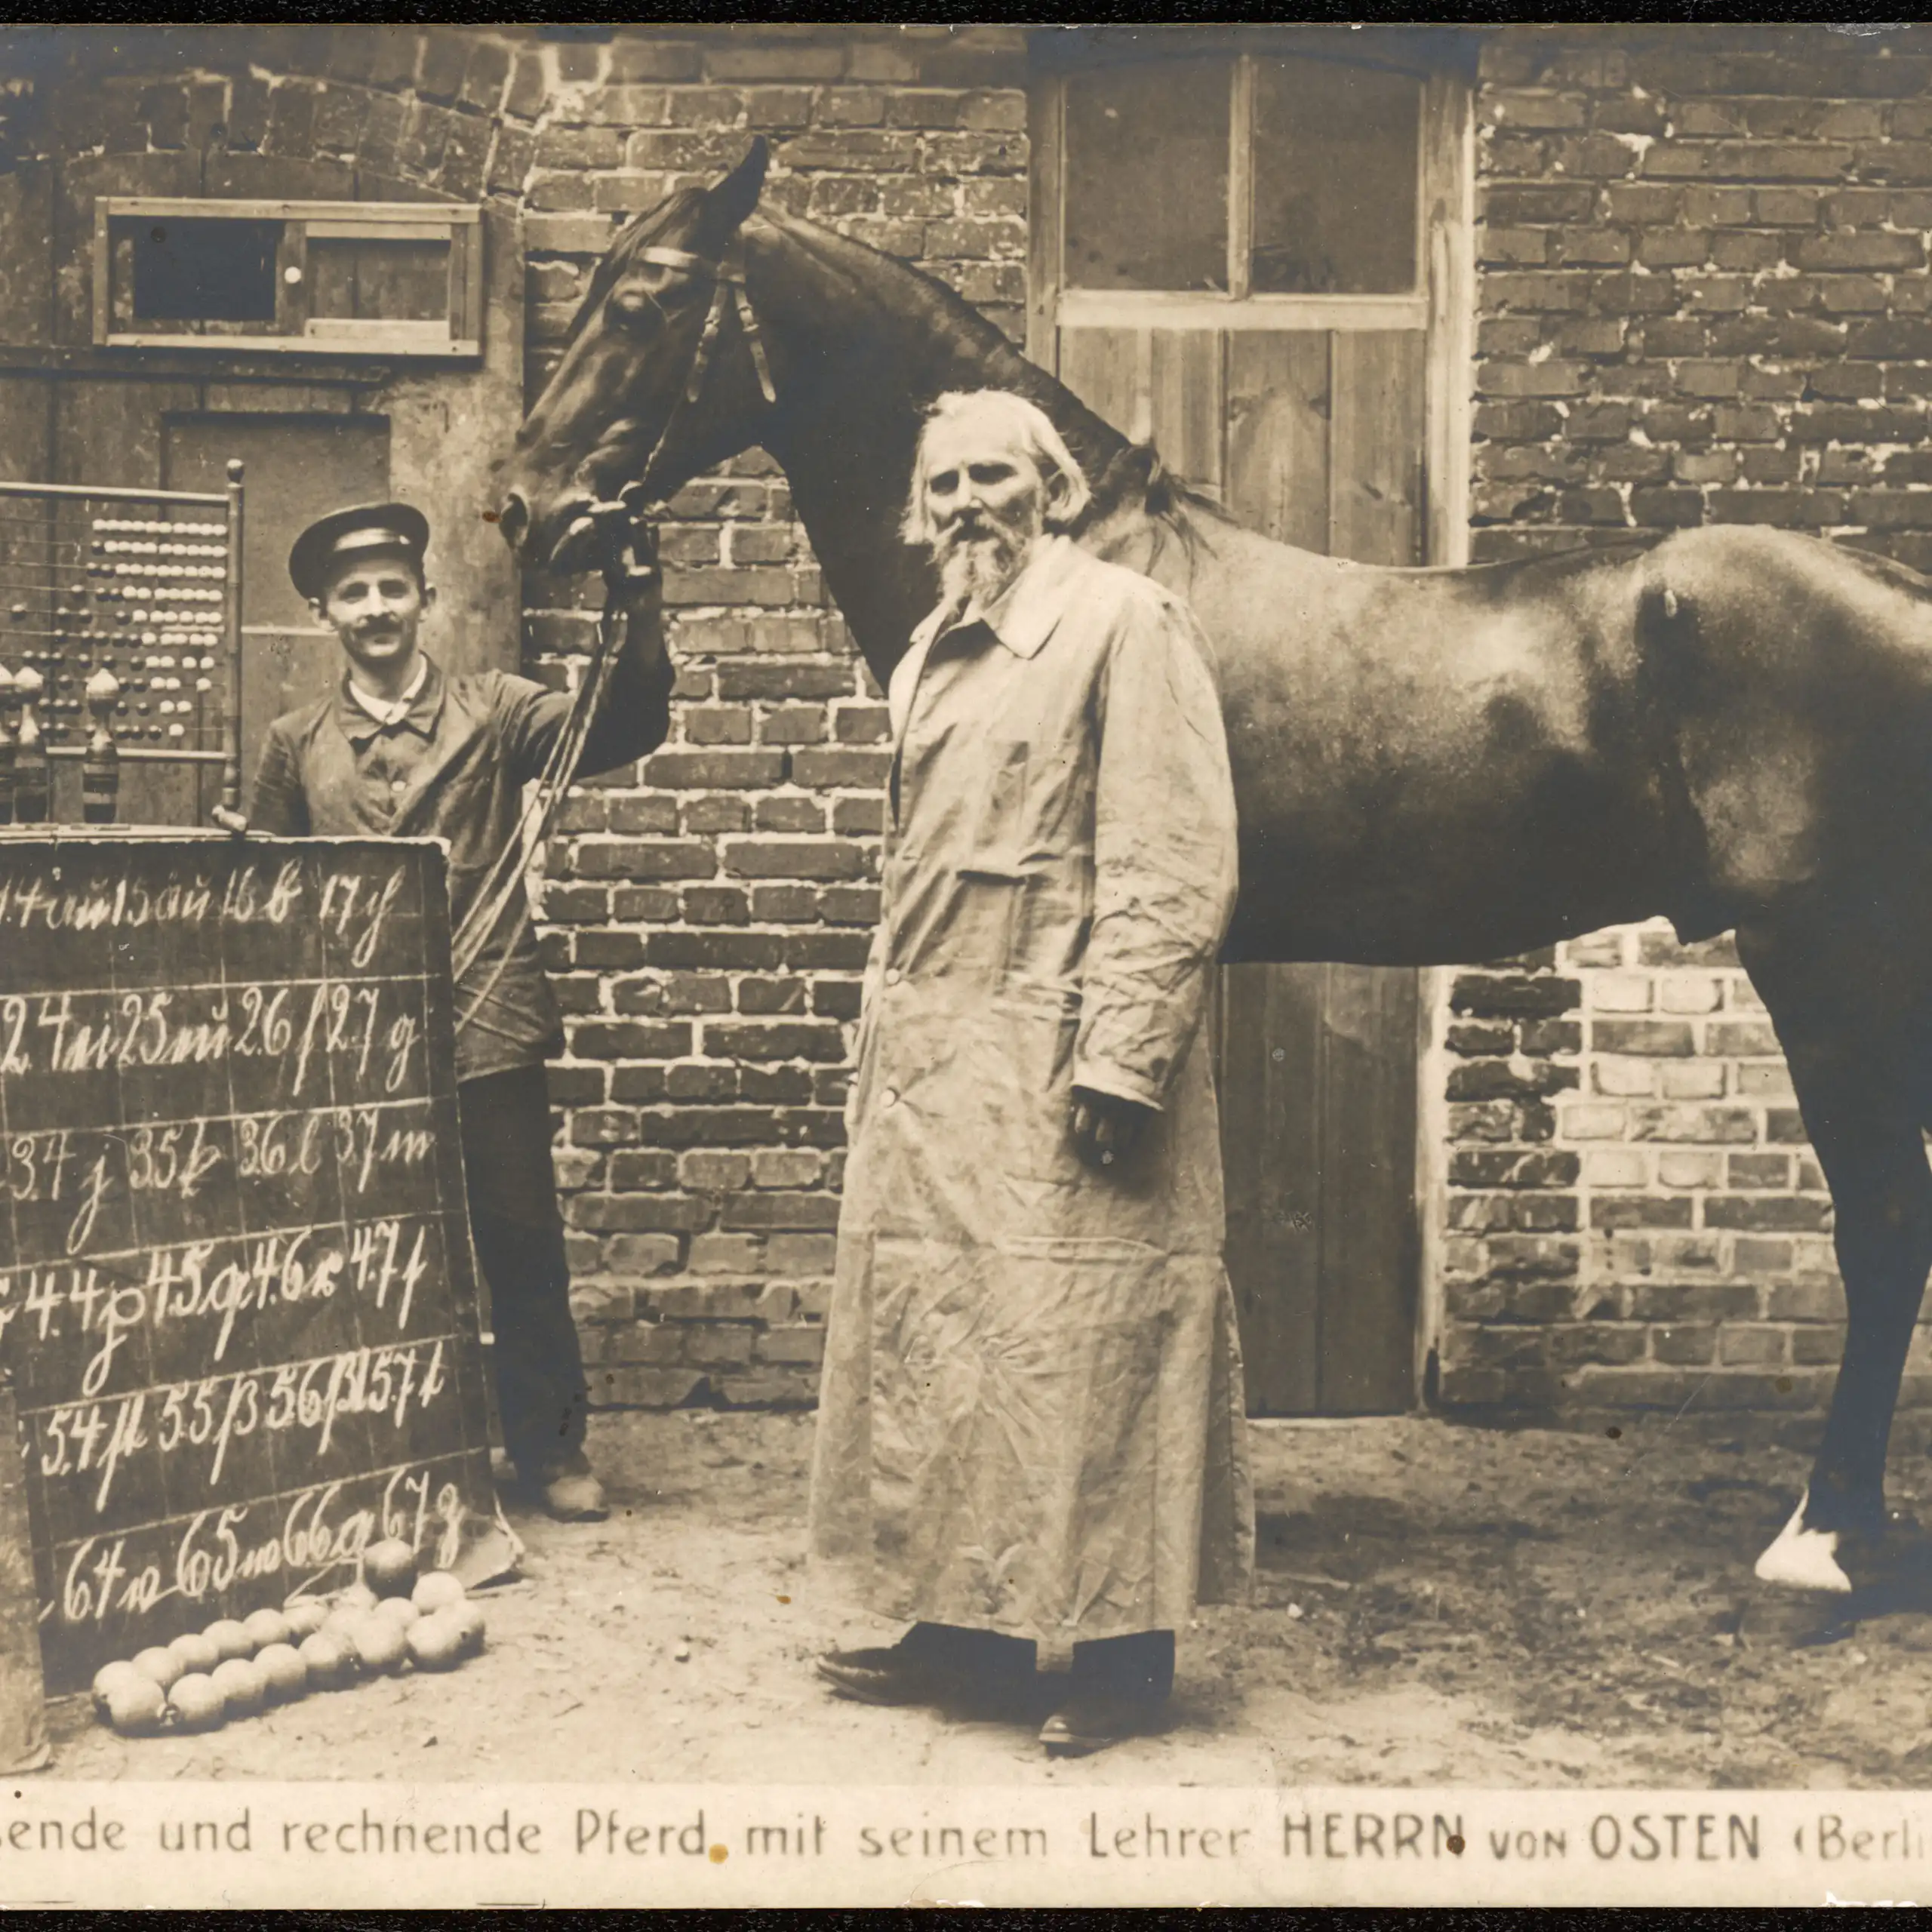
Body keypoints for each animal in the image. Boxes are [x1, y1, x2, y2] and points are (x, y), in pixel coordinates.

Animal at [499, 137, 1932, 1600]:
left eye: (646, 304)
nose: (526, 508)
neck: (1079, 572)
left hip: (1827, 965)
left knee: (1883, 1217)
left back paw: (1820, 1537)